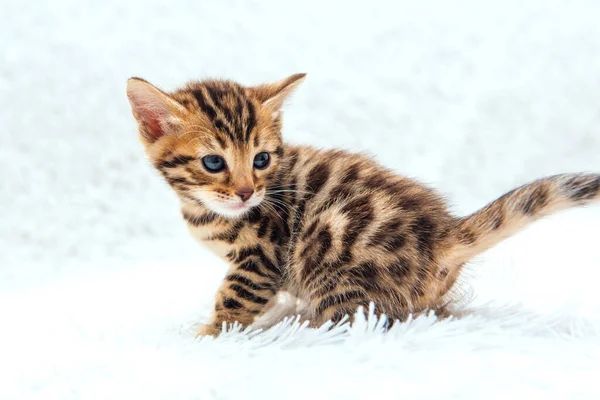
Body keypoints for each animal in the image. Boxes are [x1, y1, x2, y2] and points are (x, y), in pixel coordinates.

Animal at [124, 73, 596, 336]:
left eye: (261, 159)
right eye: (213, 162)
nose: (245, 192)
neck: (207, 211)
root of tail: (445, 234)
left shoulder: (261, 256)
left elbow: (234, 301)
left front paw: (207, 334)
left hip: (330, 253)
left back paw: (307, 330)